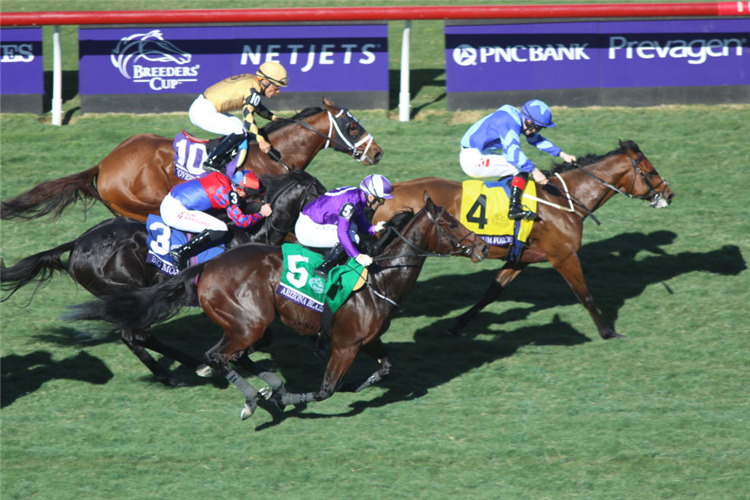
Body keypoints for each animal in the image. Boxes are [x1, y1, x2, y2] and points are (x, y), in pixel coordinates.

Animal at [1, 169, 328, 386]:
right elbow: (261, 336)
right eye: (320, 192)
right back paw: (174, 373)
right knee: (135, 335)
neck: (252, 233)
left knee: (139, 335)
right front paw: (234, 357)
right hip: (123, 288)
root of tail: (78, 243)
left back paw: (185, 367)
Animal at [66, 195, 494, 418]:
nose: (481, 246)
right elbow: (323, 391)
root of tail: (205, 267)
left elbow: (385, 367)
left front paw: (356, 384)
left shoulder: (368, 339)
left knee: (226, 354)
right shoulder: (346, 344)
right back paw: (253, 398)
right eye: (451, 224)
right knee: (214, 354)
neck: (379, 280)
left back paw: (262, 383)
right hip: (249, 321)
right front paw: (293, 398)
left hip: (245, 323)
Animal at [374, 141, 680, 340]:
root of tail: (389, 190)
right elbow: (586, 296)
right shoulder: (564, 256)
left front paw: (457, 325)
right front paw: (608, 332)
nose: (669, 194)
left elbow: (490, 293)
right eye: (650, 172)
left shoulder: (520, 259)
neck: (563, 200)